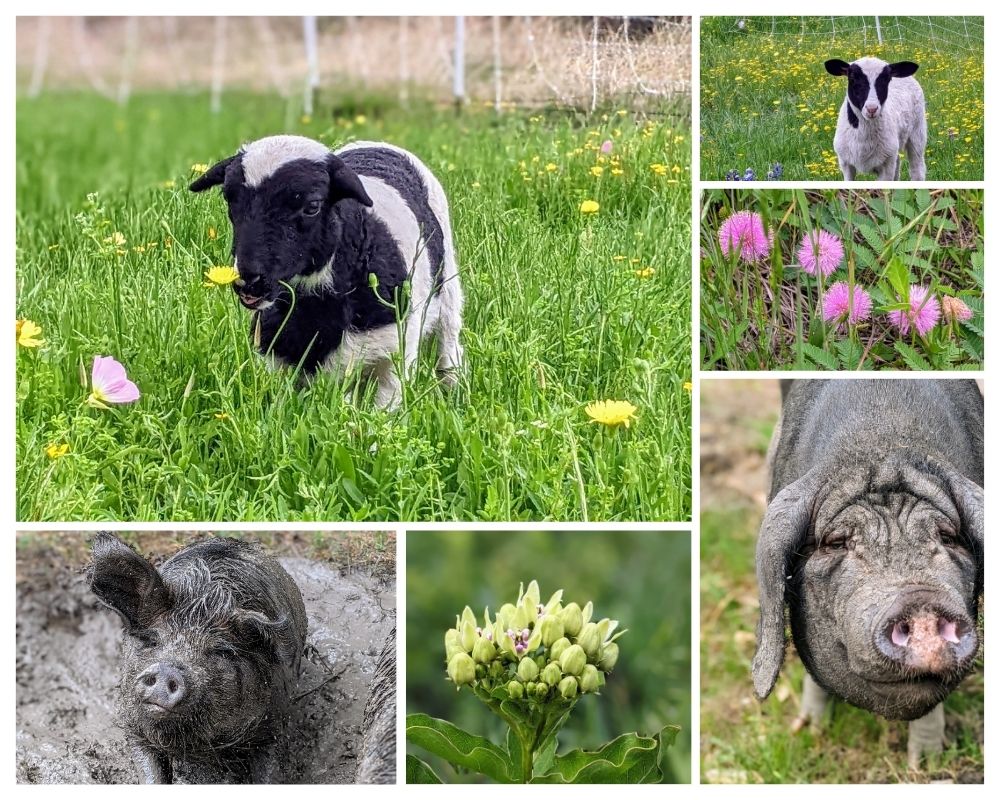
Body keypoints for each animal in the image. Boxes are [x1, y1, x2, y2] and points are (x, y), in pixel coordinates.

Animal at [189, 135, 462, 410]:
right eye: (230, 199)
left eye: (312, 206)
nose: (250, 281)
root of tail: (377, 144)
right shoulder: (277, 354)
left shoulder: (395, 354)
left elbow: (382, 411)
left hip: (449, 284)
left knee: (449, 339)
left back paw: (453, 385)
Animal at [752, 382, 980, 768]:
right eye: (836, 542)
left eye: (948, 537)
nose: (920, 599)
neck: (883, 442)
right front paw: (809, 732)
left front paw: (925, 765)